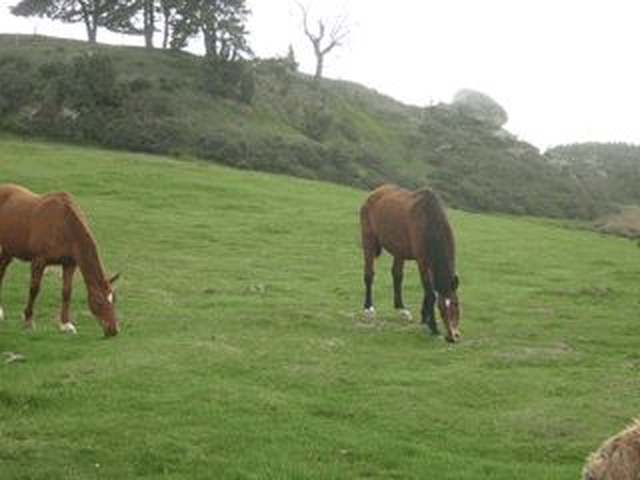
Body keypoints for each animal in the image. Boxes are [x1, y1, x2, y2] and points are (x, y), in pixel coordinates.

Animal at [0, 184, 120, 337]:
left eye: (114, 299)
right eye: (99, 302)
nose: (113, 330)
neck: (64, 224)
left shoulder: (69, 264)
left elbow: (67, 292)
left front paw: (65, 324)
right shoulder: (38, 261)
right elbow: (34, 289)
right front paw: (28, 320)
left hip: (8, 250)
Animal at [360, 184, 460, 342]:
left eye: (456, 304)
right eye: (441, 308)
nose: (452, 336)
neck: (429, 220)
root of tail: (375, 192)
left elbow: (429, 291)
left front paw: (424, 317)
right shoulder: (422, 262)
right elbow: (430, 294)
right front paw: (433, 326)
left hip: (398, 251)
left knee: (397, 275)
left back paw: (401, 309)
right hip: (368, 240)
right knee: (369, 274)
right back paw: (368, 308)